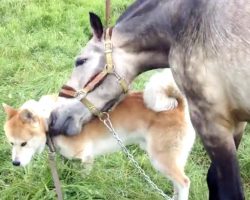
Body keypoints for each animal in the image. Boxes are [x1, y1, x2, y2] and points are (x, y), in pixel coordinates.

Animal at [2, 69, 196, 200]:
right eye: (12, 143)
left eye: (24, 143)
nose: (15, 163)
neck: (48, 120)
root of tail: (178, 106)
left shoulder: (86, 157)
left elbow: (83, 177)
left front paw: (82, 186)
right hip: (172, 158)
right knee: (177, 182)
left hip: (160, 158)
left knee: (184, 181)